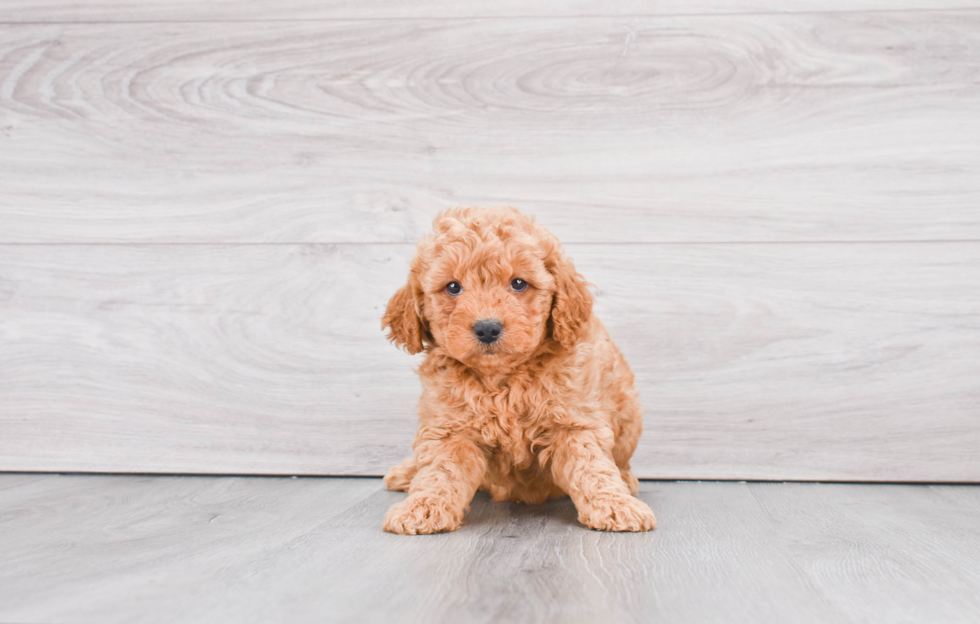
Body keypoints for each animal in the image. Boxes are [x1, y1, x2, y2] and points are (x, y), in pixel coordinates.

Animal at [382, 207, 660, 532]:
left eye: (518, 283)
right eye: (452, 287)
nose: (487, 328)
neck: (503, 379)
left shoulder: (574, 422)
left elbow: (591, 466)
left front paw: (615, 505)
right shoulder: (450, 428)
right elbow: (440, 471)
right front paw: (422, 507)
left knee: (621, 461)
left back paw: (627, 480)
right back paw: (406, 472)